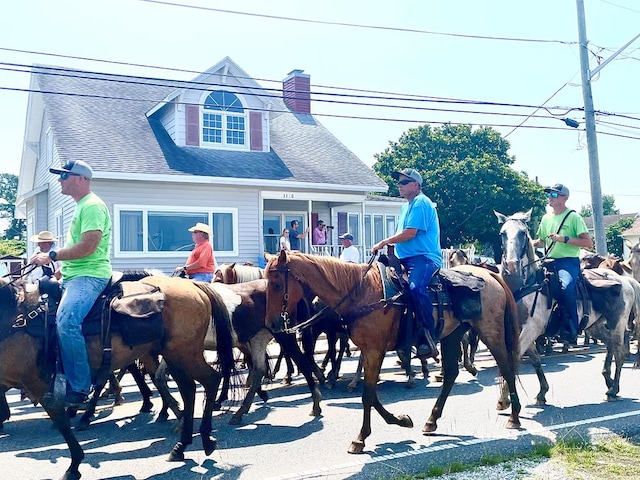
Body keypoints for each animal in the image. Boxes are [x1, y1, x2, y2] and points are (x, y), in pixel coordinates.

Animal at [0, 274, 236, 480]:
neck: (15, 318)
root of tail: (194, 286)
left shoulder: (38, 386)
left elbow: (62, 423)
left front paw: (74, 466)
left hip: (185, 354)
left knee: (210, 380)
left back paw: (205, 439)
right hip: (174, 356)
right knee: (188, 390)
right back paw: (181, 445)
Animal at [264, 251, 520, 454]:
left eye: (276, 284)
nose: (272, 324)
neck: (361, 293)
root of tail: (490, 275)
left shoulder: (374, 350)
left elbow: (368, 395)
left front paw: (360, 438)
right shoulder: (370, 351)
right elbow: (371, 393)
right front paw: (400, 420)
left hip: (490, 333)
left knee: (507, 367)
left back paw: (514, 416)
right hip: (452, 335)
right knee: (450, 375)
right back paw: (431, 420)